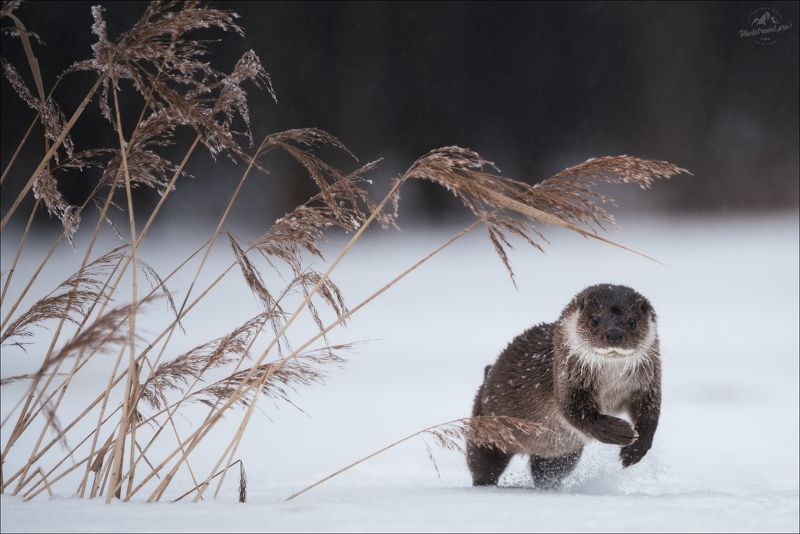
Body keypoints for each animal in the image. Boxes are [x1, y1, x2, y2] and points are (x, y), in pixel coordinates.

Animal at [467, 284, 661, 488]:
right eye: (595, 319)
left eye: (632, 322)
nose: (614, 334)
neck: (611, 384)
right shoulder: (566, 379)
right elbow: (575, 412)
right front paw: (618, 431)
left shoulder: (647, 384)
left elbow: (650, 413)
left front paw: (636, 449)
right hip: (486, 426)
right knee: (483, 462)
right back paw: (485, 484)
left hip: (561, 454)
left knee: (546, 471)